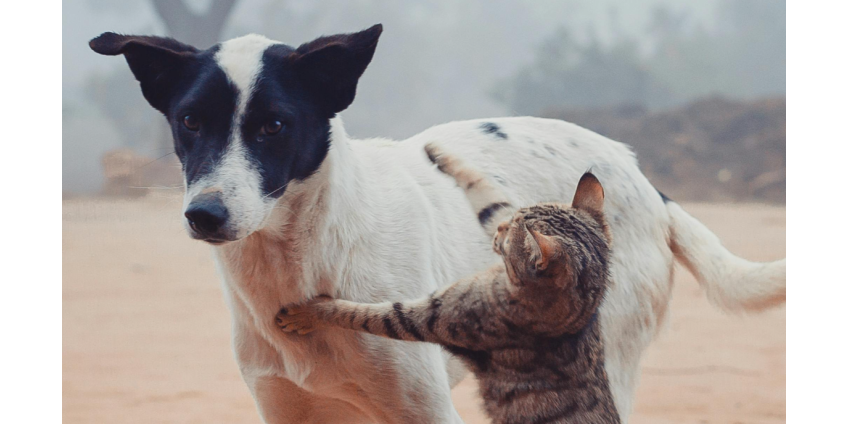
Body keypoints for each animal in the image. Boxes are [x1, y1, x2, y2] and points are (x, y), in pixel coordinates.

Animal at [276, 146, 616, 424]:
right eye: (508, 227)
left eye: (508, 238)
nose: (501, 230)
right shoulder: (499, 211)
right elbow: (490, 198)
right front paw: (440, 155)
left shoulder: (430, 317)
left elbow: (363, 314)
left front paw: (308, 312)